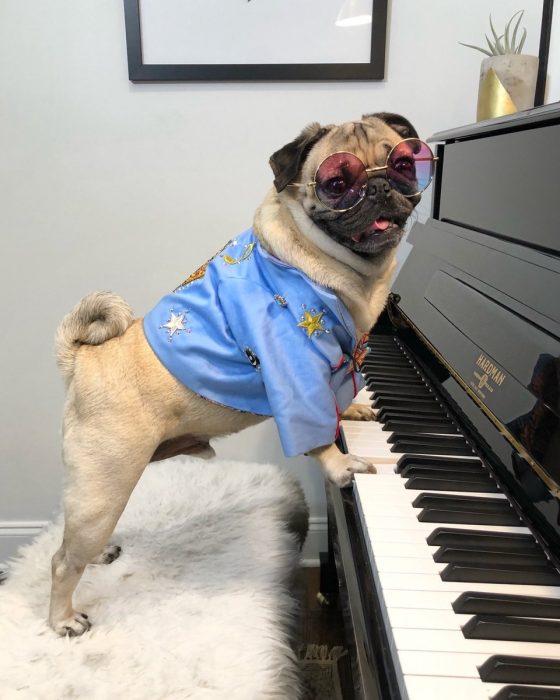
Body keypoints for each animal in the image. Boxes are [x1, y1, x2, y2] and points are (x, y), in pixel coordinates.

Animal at [51, 110, 428, 636]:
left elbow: (336, 399)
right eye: (336, 184)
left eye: (402, 165)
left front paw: (351, 410)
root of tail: (85, 359)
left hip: (98, 490)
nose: (377, 187)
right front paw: (338, 464)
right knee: (63, 560)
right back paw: (62, 619)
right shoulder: (293, 366)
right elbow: (314, 429)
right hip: (104, 484)